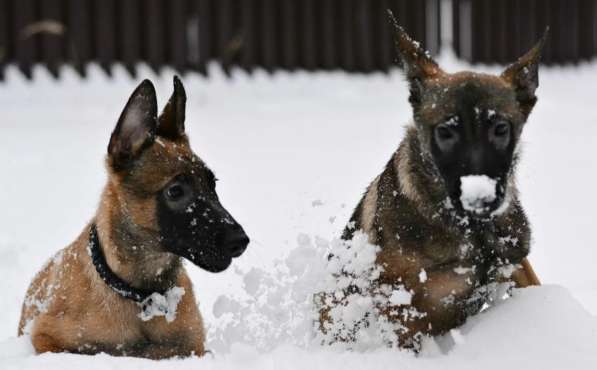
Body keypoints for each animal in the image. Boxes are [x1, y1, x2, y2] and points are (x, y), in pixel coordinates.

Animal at [17, 76, 248, 356]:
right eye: (175, 191)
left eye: (212, 184)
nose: (241, 241)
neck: (142, 294)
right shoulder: (47, 338)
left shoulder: (193, 347)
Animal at [322, 15, 544, 350]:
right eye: (445, 132)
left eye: (500, 129)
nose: (480, 198)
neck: (469, 229)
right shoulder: (398, 305)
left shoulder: (515, 264)